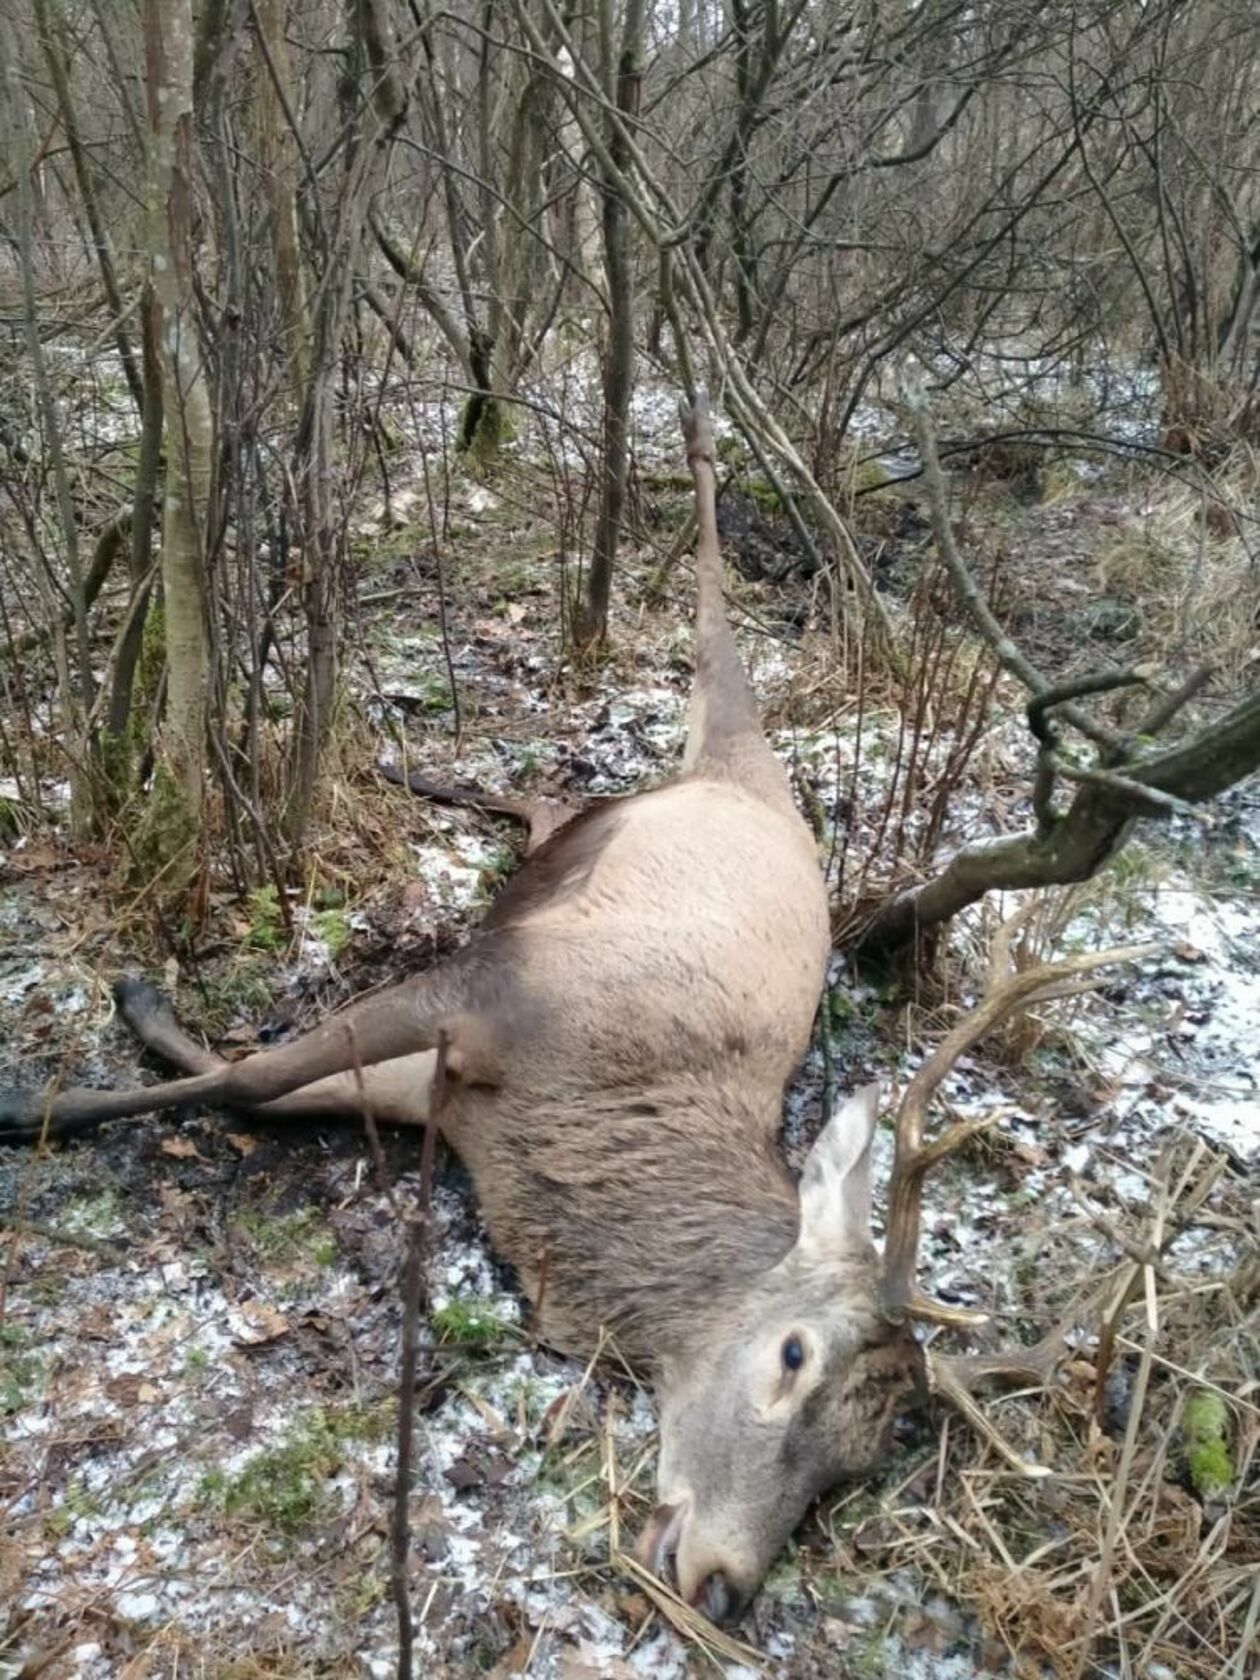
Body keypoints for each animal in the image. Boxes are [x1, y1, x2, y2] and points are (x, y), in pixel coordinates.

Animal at [0, 396, 1142, 1626]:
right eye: (792, 1357)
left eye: (859, 1460)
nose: (725, 1585)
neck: (572, 1125)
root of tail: (744, 774)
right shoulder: (486, 992)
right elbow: (255, 1075)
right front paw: (51, 1078)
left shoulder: (452, 1101)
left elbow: (256, 1097)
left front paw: (131, 1023)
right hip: (616, 809)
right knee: (594, 744)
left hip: (582, 832)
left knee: (539, 796)